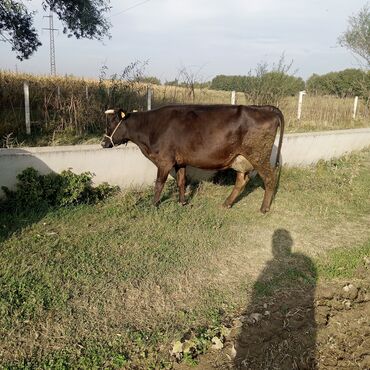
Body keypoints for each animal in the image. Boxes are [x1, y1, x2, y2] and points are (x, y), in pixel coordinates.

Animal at [101, 105, 284, 212]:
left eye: (113, 122)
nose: (103, 143)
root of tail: (265, 109)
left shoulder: (164, 161)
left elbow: (159, 184)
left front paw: (153, 205)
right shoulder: (180, 161)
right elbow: (182, 181)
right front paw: (182, 202)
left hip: (259, 156)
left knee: (269, 178)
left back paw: (264, 208)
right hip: (241, 158)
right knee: (241, 181)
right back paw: (227, 203)